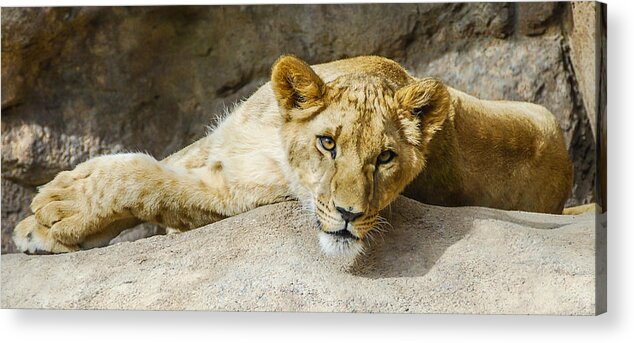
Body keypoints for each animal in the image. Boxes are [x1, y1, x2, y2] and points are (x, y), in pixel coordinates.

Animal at [11, 55, 572, 256]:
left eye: (385, 158)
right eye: (328, 143)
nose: (349, 215)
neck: (273, 141)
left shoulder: (228, 198)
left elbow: (147, 179)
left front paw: (53, 214)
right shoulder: (218, 140)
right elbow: (166, 158)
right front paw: (43, 222)